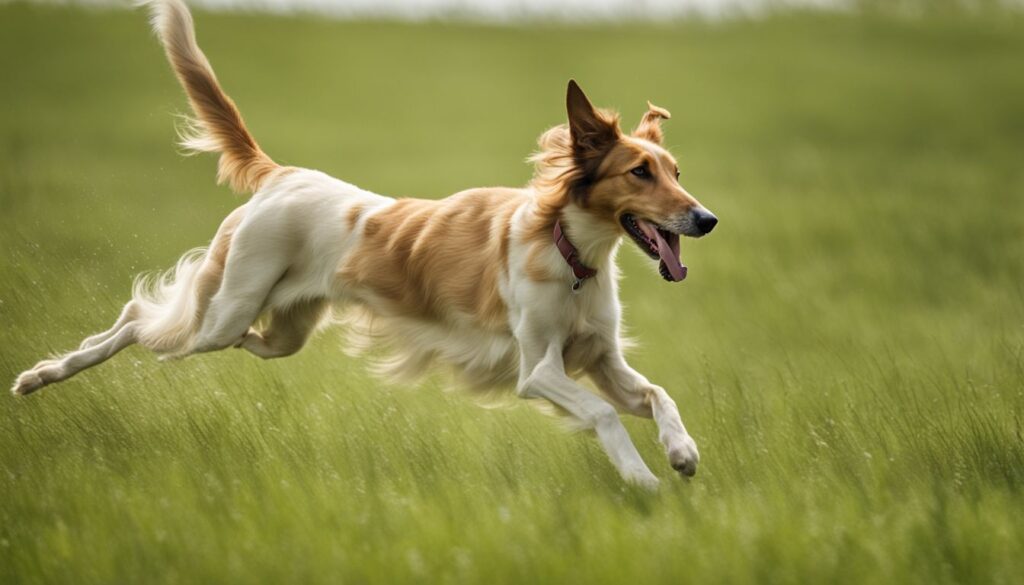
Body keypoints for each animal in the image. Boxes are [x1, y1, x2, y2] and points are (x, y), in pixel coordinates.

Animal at [14, 0, 720, 489]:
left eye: (676, 171)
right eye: (639, 172)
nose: (707, 219)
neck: (569, 252)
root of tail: (283, 174)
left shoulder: (600, 360)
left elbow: (657, 394)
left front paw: (682, 450)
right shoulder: (537, 370)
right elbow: (602, 416)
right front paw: (642, 476)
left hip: (281, 331)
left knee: (231, 339)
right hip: (225, 311)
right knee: (141, 319)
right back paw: (42, 375)